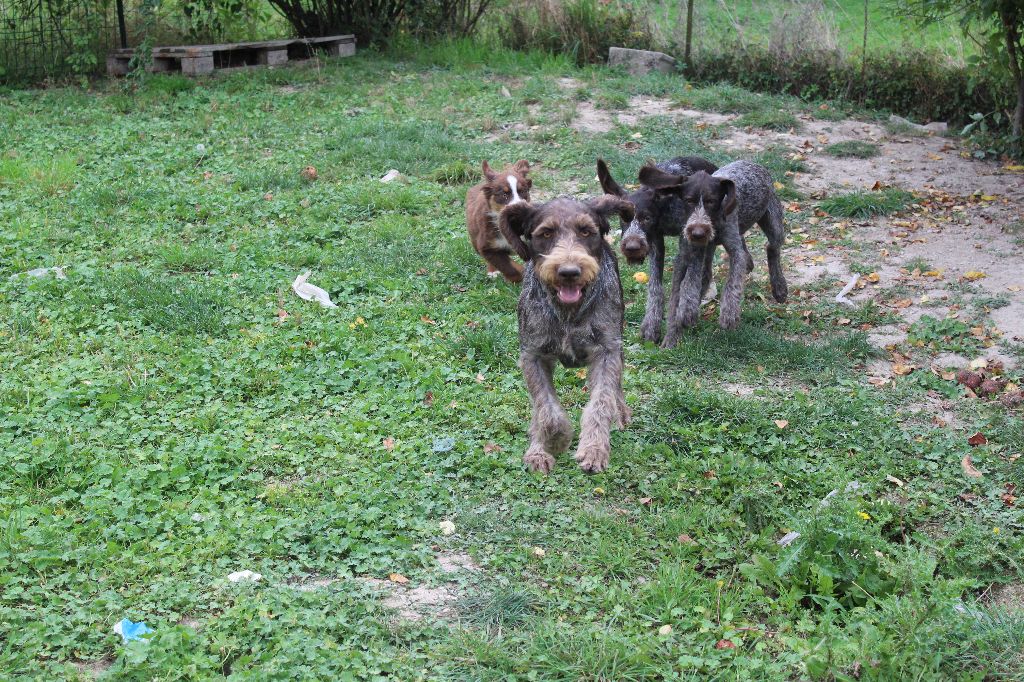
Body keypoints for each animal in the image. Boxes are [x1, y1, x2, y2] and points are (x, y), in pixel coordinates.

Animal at [638, 159, 790, 346]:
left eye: (711, 201)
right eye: (689, 201)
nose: (697, 233)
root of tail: (754, 163)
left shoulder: (735, 250)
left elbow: (732, 282)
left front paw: (729, 314)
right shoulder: (687, 254)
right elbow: (681, 290)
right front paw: (674, 332)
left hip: (773, 222)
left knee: (772, 247)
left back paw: (779, 287)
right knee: (707, 275)